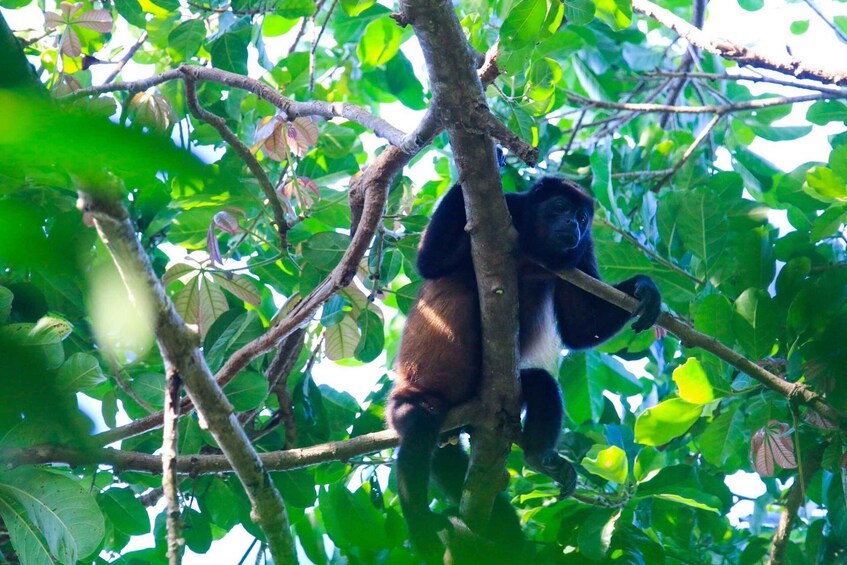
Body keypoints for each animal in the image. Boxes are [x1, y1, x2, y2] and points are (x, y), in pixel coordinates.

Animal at [390, 178, 664, 556]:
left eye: (582, 217)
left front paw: (644, 288)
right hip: (407, 403)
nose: (574, 223)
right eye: (560, 208)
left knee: (539, 384)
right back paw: (423, 529)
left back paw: (538, 459)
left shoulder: (582, 252)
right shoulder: (508, 211)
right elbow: (430, 262)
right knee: (419, 425)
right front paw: (484, 167)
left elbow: (581, 327)